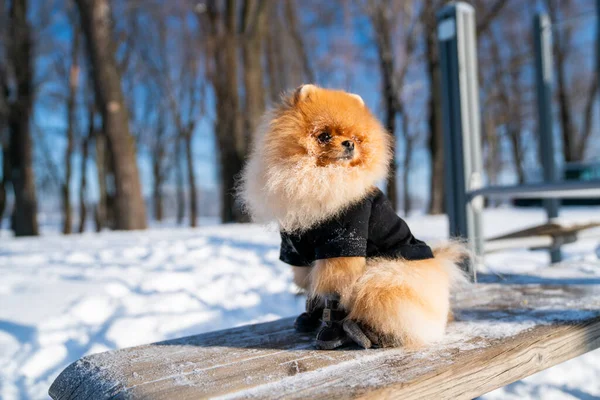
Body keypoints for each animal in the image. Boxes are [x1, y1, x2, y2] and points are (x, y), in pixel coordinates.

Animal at [239, 85, 468, 350]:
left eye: (356, 138)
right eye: (324, 136)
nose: (349, 143)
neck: (319, 178)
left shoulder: (341, 246)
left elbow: (334, 296)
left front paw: (330, 331)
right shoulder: (295, 250)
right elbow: (312, 289)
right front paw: (310, 316)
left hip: (389, 276)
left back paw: (368, 332)